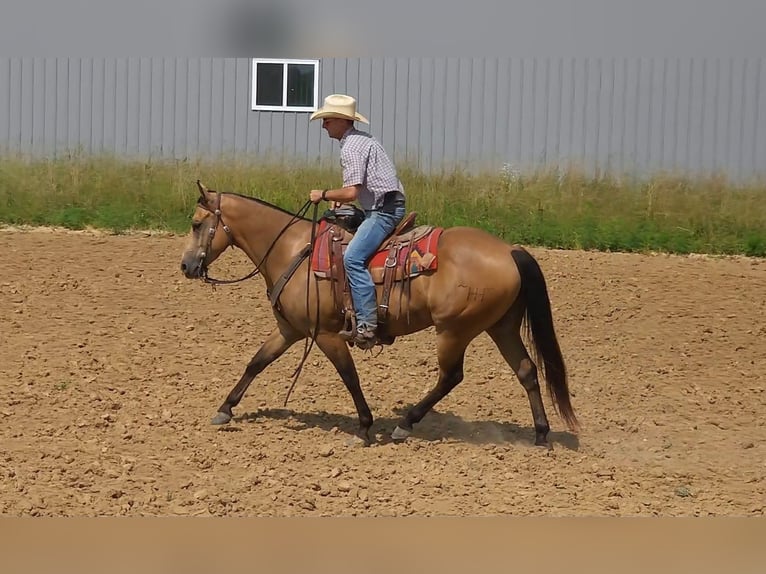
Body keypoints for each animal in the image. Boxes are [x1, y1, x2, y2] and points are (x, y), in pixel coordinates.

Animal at [180, 184, 580, 450]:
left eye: (197, 223)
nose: (186, 266)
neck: (294, 252)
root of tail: (511, 250)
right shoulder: (290, 328)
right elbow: (256, 363)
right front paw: (225, 409)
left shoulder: (326, 334)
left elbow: (349, 376)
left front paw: (364, 427)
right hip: (501, 326)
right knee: (527, 370)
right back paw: (541, 434)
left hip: (455, 330)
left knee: (451, 376)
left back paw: (405, 425)